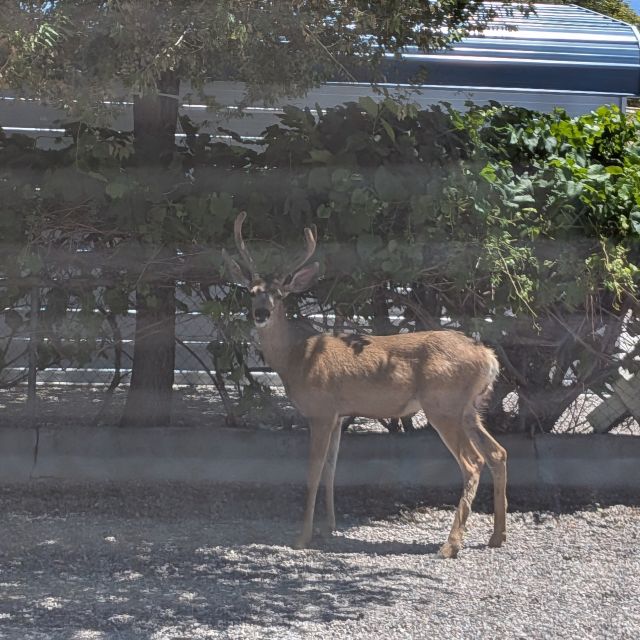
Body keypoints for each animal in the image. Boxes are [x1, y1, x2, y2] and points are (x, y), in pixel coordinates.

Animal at [223, 211, 507, 558]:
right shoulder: (338, 415)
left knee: (473, 462)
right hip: (468, 408)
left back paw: (450, 545)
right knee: (498, 453)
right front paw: (329, 527)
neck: (296, 358)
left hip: (443, 405)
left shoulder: (320, 410)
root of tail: (488, 357)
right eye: (251, 291)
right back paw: (497, 536)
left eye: (279, 295)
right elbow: (331, 468)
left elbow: (313, 470)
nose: (261, 313)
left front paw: (302, 537)